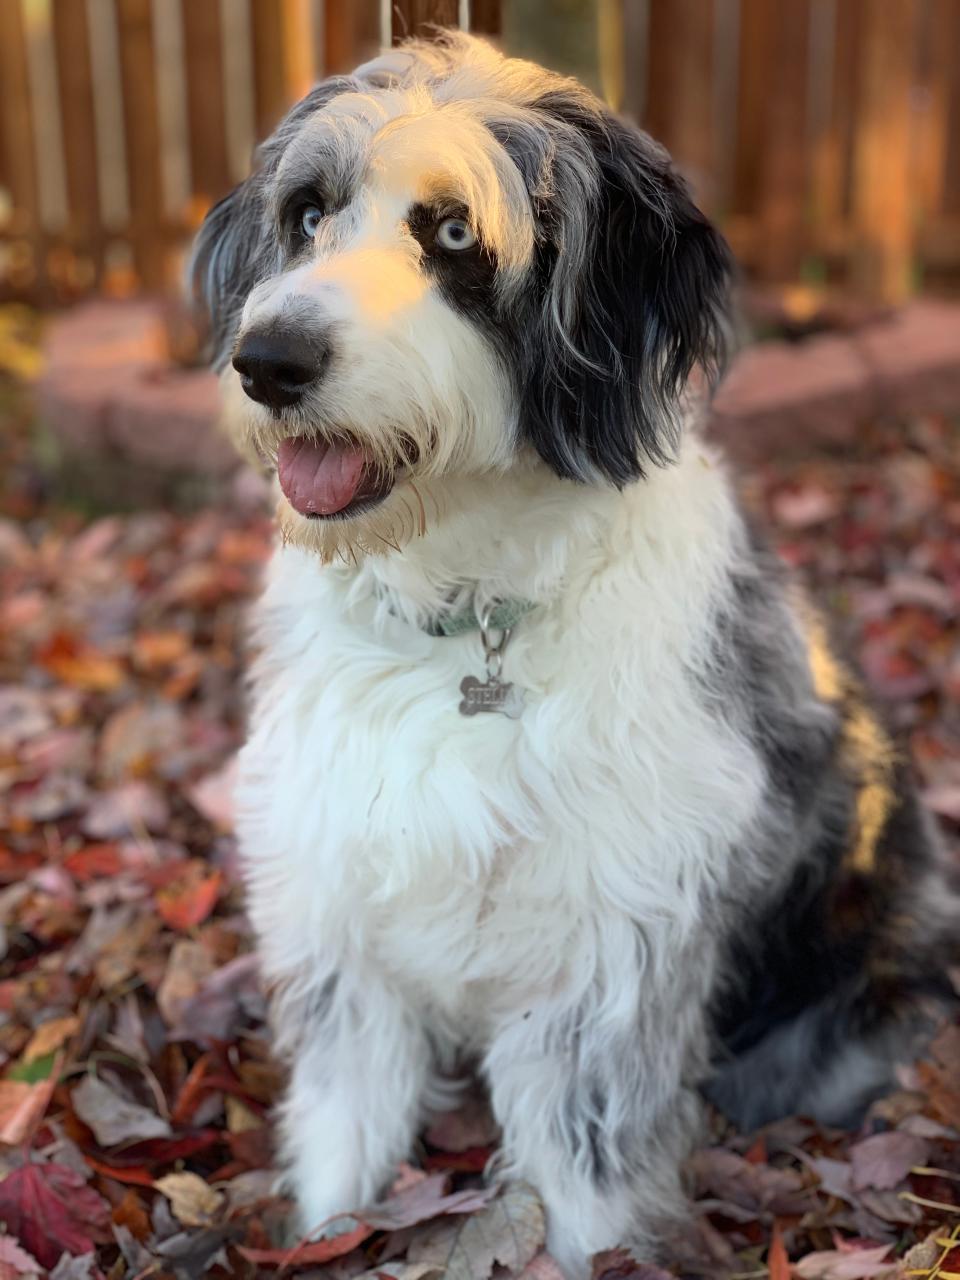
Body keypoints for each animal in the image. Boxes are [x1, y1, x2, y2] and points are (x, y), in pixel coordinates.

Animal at [189, 32, 960, 1280]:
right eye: (306, 214)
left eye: (455, 233)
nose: (268, 359)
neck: (468, 609)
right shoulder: (338, 890)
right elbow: (347, 1111)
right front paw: (318, 1227)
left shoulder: (609, 943)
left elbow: (583, 1158)